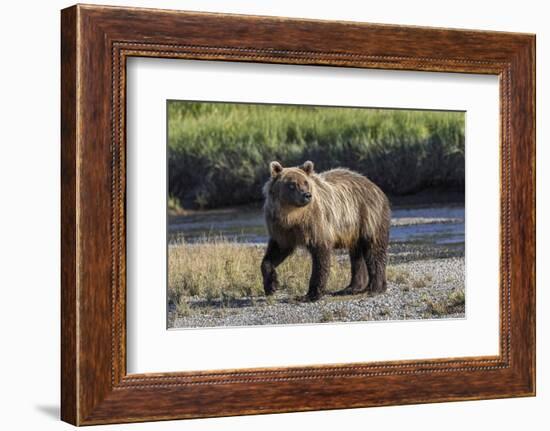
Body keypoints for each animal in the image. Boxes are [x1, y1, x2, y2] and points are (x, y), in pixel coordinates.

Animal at [264, 160, 392, 302]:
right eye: (292, 184)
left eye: (305, 182)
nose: (307, 195)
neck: (293, 216)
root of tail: (375, 187)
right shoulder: (282, 229)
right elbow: (276, 251)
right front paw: (271, 285)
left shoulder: (316, 224)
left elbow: (321, 256)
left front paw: (311, 294)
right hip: (354, 229)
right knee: (356, 255)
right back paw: (352, 288)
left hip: (368, 217)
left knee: (374, 250)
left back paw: (375, 287)